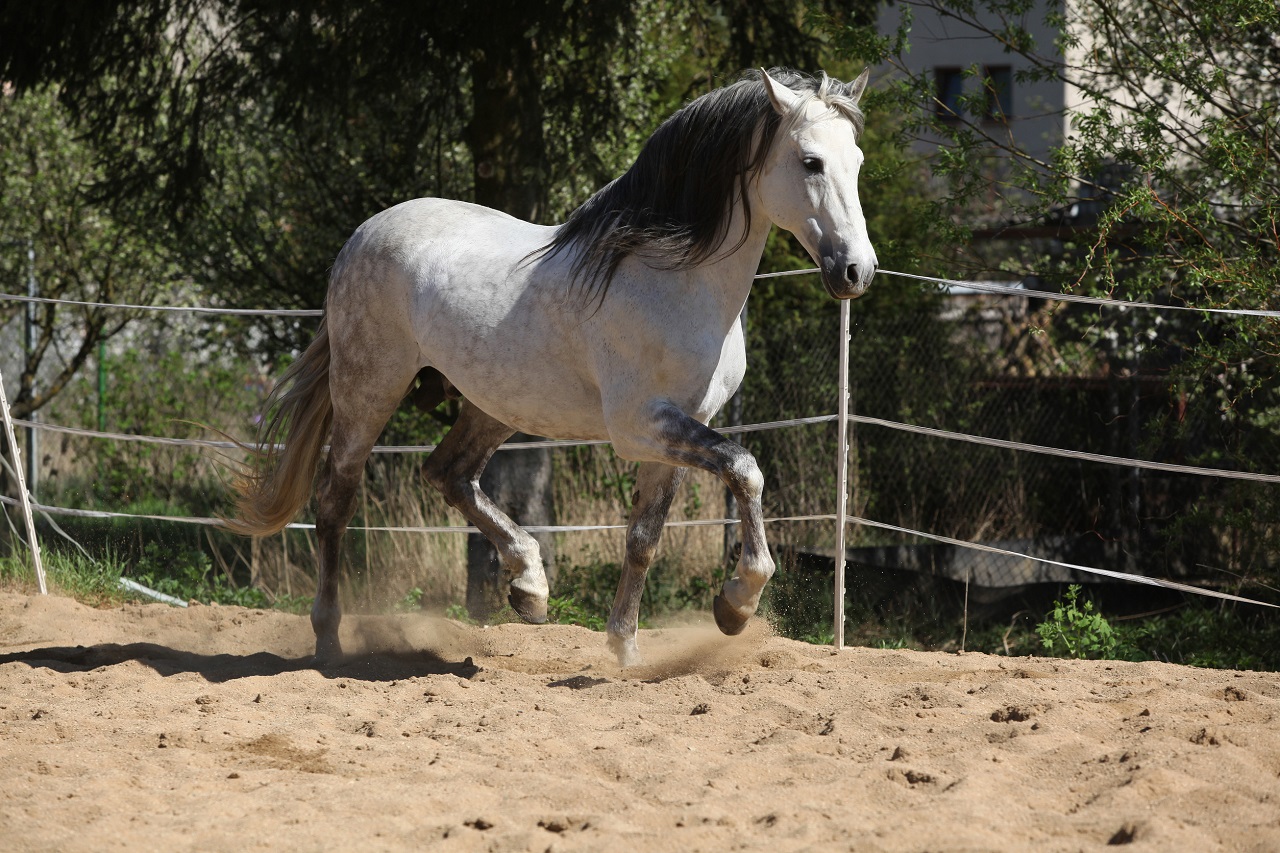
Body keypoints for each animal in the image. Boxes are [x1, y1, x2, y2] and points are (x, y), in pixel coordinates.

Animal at [227, 67, 877, 667]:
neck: (673, 276)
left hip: (495, 401)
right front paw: (737, 603)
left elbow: (644, 538)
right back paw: (330, 641)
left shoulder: (679, 430)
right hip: (369, 387)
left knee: (448, 474)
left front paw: (625, 653)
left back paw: (529, 586)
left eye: (858, 161)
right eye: (811, 161)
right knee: (336, 499)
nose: (856, 271)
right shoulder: (641, 426)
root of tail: (362, 235)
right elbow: (745, 469)